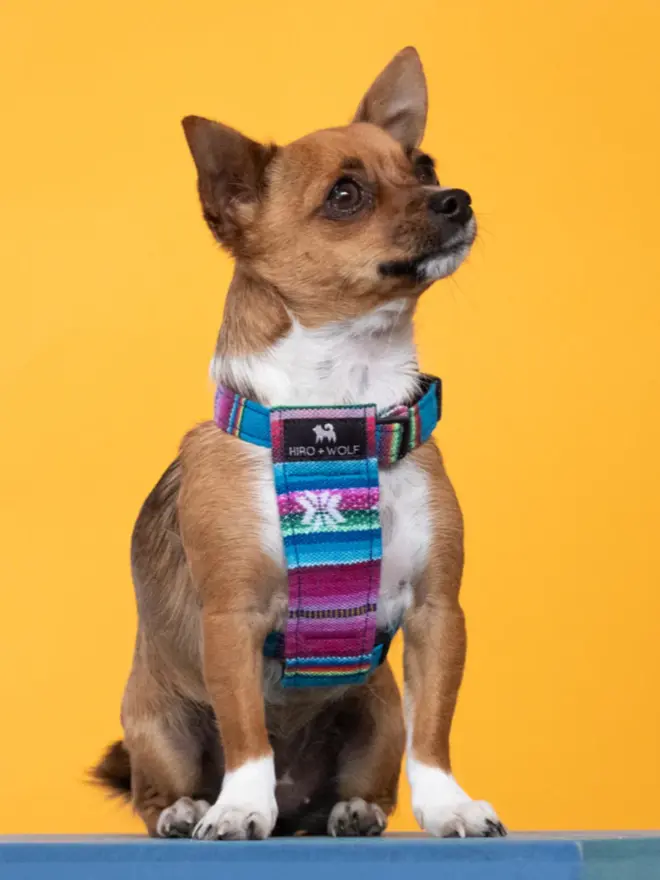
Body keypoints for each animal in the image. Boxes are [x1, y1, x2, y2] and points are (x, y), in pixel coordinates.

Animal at [93, 46, 506, 840]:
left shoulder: (439, 613)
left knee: (374, 773)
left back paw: (351, 810)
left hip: (375, 711)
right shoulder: (232, 622)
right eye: (345, 196)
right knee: (155, 787)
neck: (339, 414)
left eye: (426, 165)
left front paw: (449, 806)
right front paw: (237, 808)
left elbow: (434, 730)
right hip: (155, 721)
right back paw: (192, 807)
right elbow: (247, 731)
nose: (456, 198)